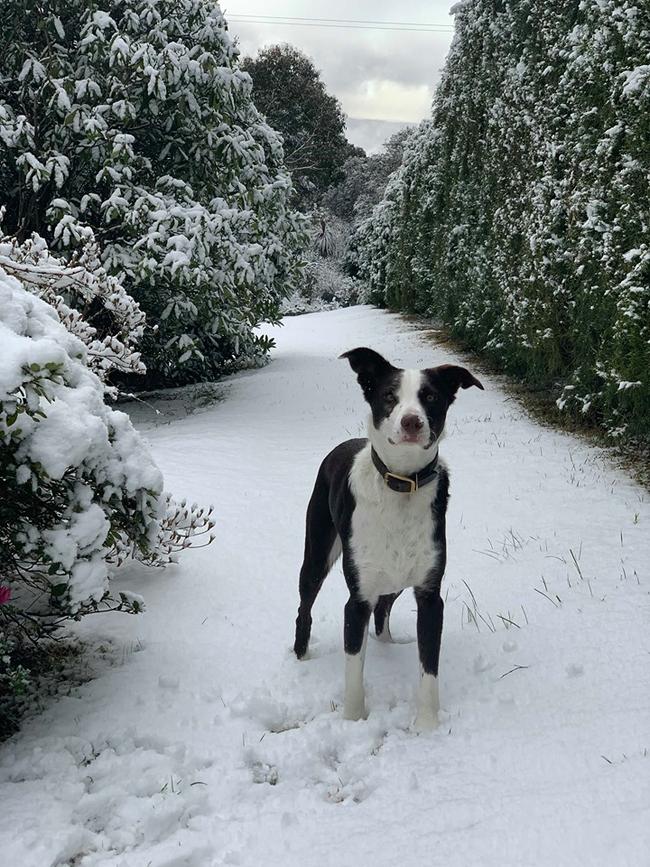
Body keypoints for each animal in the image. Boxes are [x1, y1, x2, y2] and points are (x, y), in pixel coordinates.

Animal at [292, 350, 480, 728]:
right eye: (389, 396)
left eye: (430, 397)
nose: (411, 422)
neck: (401, 483)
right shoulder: (357, 597)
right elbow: (353, 672)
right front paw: (353, 721)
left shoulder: (429, 592)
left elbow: (429, 669)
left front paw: (427, 726)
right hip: (318, 551)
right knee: (305, 607)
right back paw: (302, 657)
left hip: (394, 574)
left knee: (384, 609)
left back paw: (389, 644)